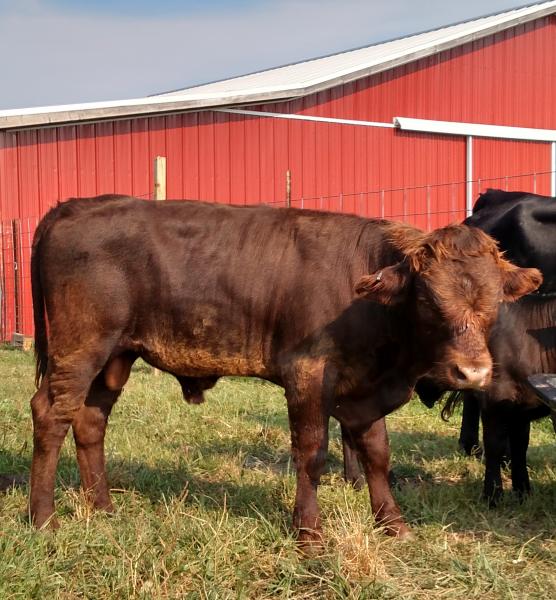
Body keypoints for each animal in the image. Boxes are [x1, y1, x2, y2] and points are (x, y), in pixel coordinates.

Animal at [29, 195, 541, 548]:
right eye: (429, 300)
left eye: (495, 302)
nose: (472, 372)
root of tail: (75, 206)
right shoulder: (307, 375)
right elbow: (312, 453)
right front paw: (310, 533)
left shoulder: (365, 392)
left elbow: (377, 454)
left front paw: (392, 523)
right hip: (81, 348)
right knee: (51, 414)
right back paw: (43, 518)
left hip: (114, 357)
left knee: (90, 420)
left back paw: (102, 507)